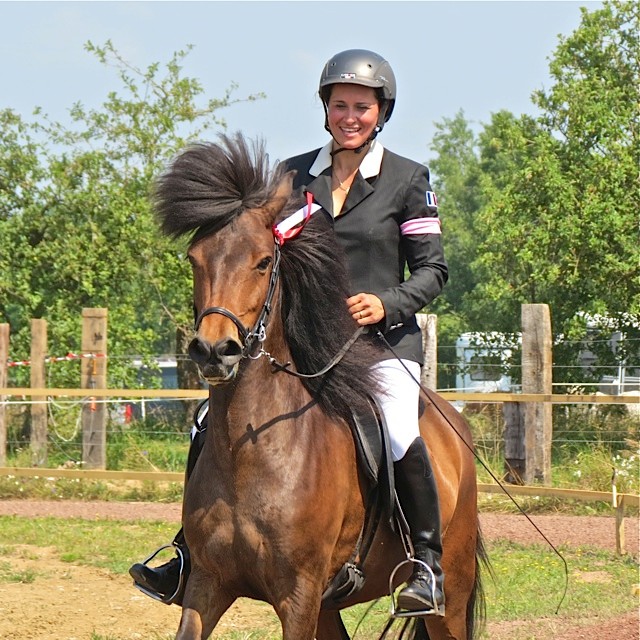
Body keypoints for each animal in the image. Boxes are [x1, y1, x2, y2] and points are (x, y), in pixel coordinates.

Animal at [154, 132, 484, 636]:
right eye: (195, 259)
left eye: (263, 262)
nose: (214, 351)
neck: (250, 448)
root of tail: (456, 427)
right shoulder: (208, 583)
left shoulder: (299, 595)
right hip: (328, 607)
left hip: (453, 591)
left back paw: (423, 583)